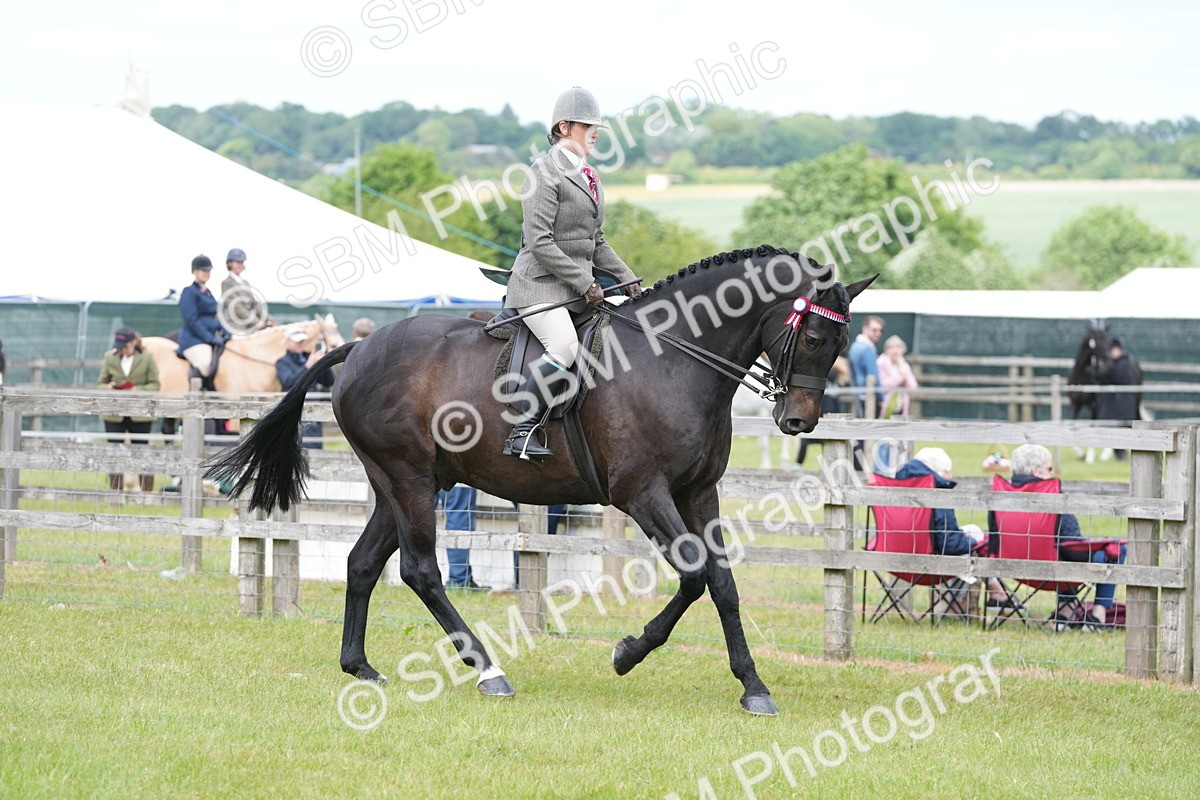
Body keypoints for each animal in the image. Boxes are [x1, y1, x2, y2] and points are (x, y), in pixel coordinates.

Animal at [207, 246, 872, 715]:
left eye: (841, 341)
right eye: (815, 336)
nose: (799, 421)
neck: (672, 358)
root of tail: (360, 347)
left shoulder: (697, 493)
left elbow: (724, 584)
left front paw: (754, 687)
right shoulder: (642, 494)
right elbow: (694, 575)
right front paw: (627, 653)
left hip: (402, 485)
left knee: (363, 563)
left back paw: (360, 666)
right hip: (409, 480)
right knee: (421, 571)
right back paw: (489, 671)